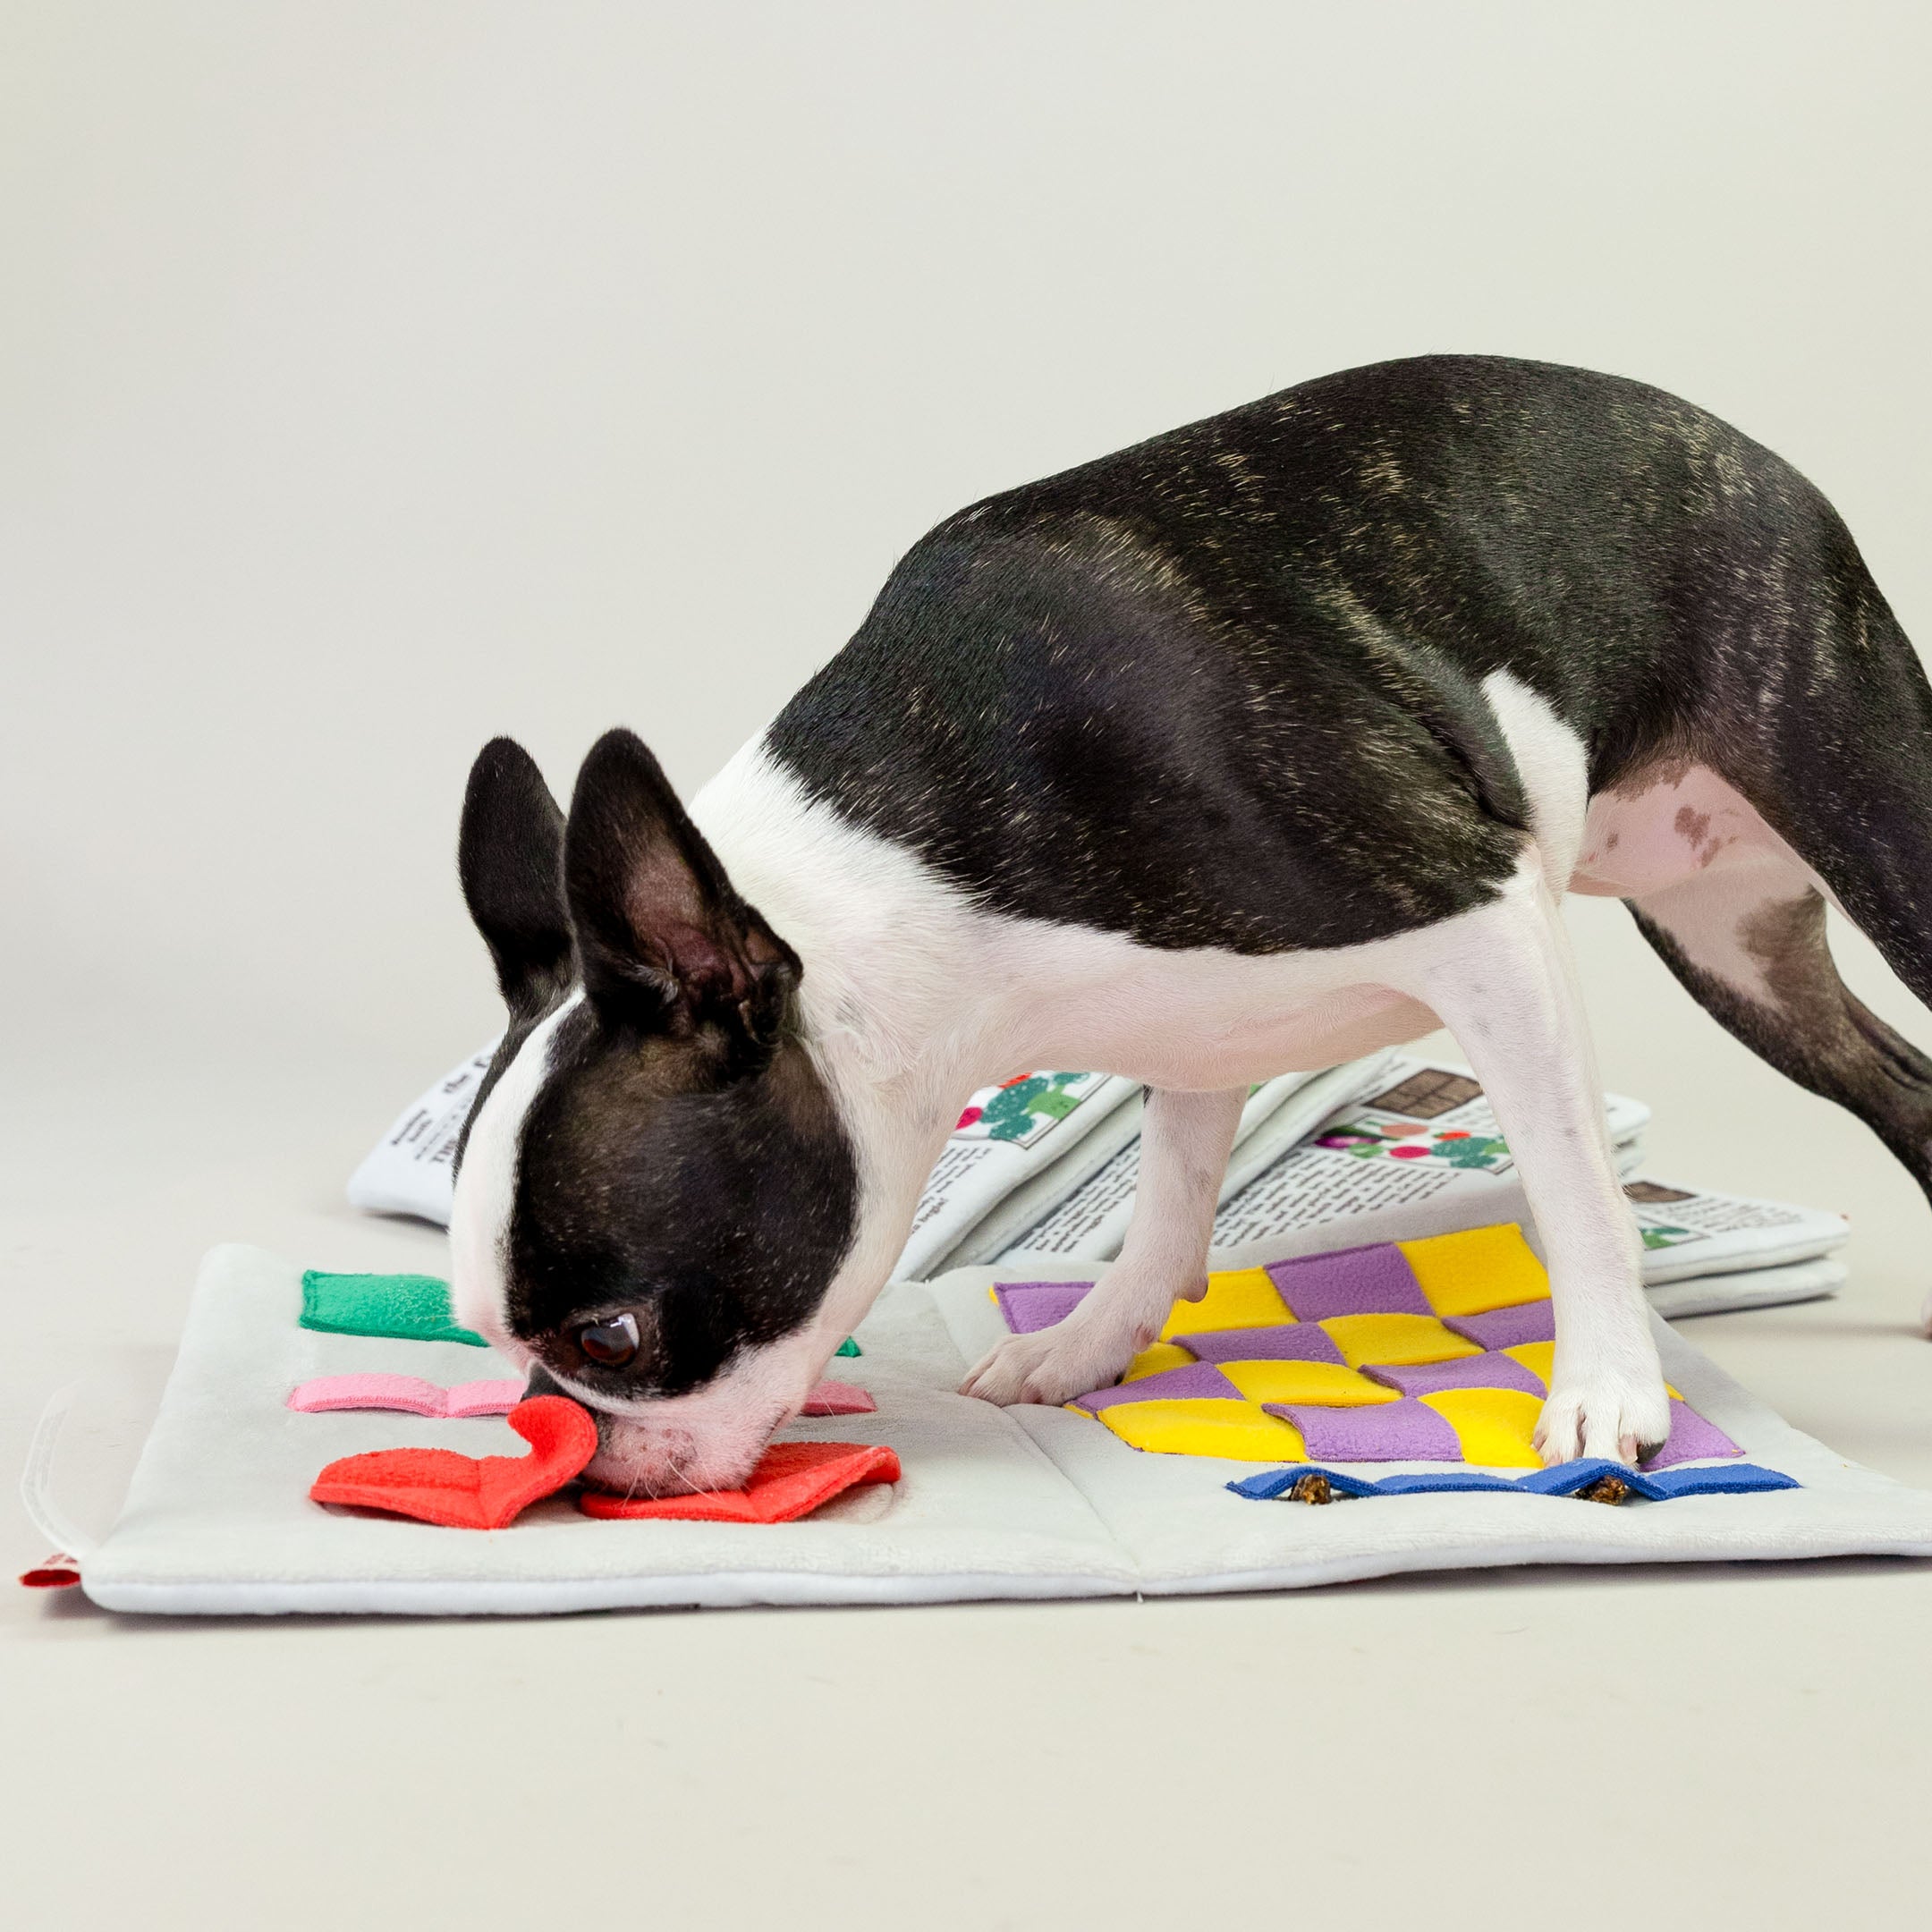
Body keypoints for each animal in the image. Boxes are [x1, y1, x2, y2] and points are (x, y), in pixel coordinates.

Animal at [444, 355, 1932, 1499]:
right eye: (486, 1342)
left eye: (613, 1337)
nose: (565, 1449)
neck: (906, 868)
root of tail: (1750, 455)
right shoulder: (1197, 1015)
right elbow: (1167, 1198)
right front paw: (1092, 1344)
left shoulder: (1479, 908)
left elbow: (1573, 1190)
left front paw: (1610, 1385)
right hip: (1734, 950)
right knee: (1900, 1084)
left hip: (1871, 814)